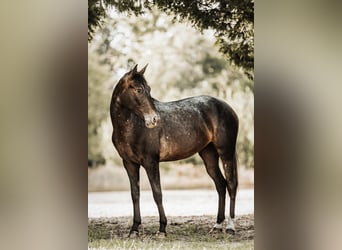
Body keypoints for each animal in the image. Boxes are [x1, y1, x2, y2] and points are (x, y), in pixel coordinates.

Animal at [109, 64, 238, 236]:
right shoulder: (129, 164)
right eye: (139, 89)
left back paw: (230, 226)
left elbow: (157, 194)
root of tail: (228, 108)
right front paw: (134, 229)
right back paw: (217, 225)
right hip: (209, 155)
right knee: (221, 185)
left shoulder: (151, 162)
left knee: (231, 184)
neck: (132, 127)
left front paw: (162, 229)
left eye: (148, 89)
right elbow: (135, 194)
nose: (154, 119)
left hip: (226, 152)